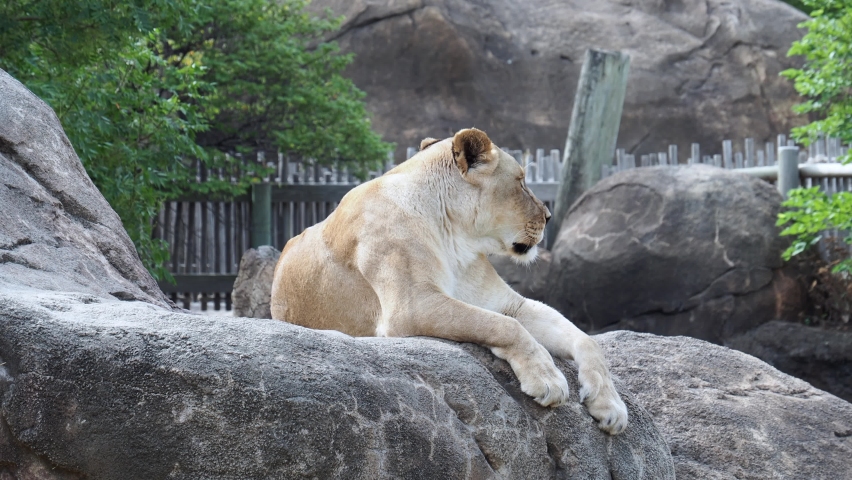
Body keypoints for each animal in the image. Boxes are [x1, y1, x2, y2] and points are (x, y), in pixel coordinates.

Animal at [271, 128, 628, 434]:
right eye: (521, 182)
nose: (549, 217)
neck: (457, 238)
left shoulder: (509, 304)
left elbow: (587, 340)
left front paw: (611, 406)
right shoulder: (413, 306)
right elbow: (503, 326)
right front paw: (547, 377)